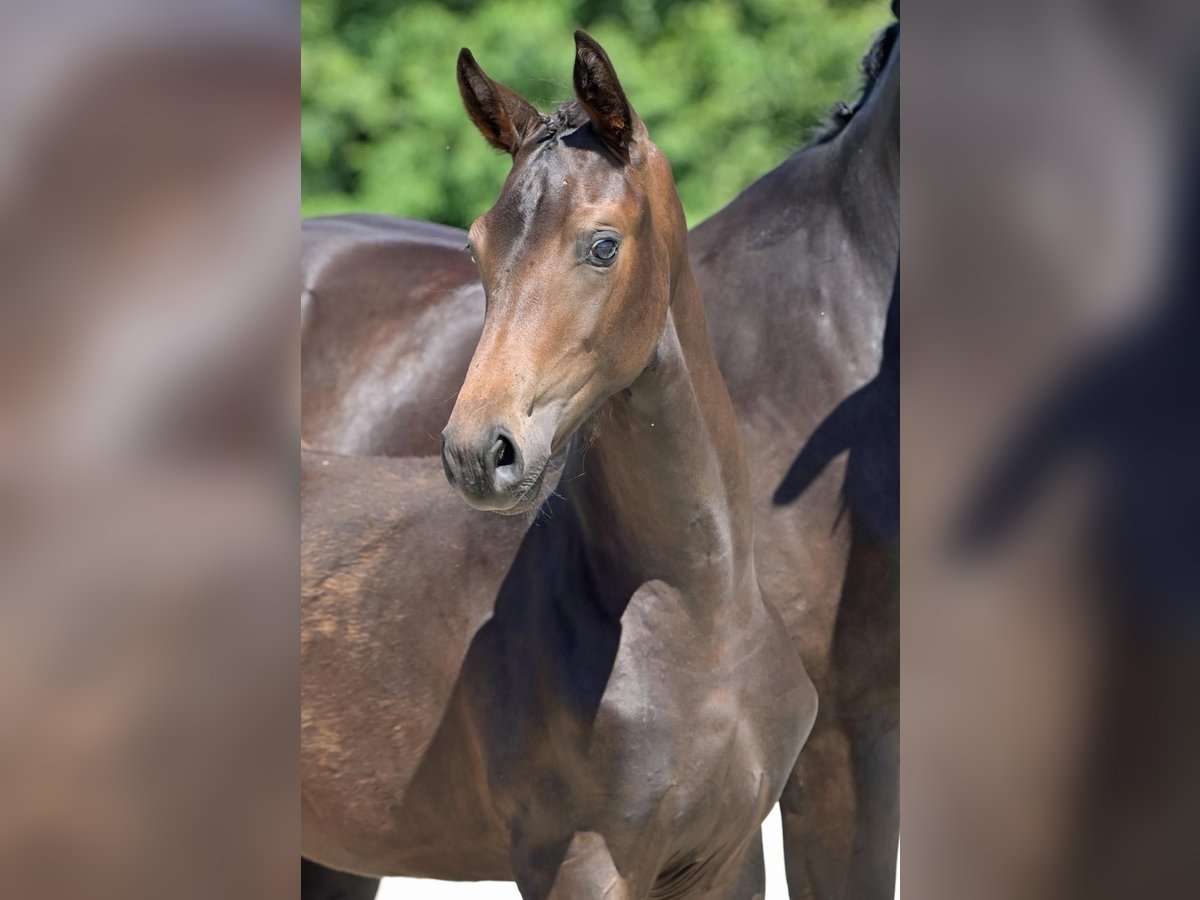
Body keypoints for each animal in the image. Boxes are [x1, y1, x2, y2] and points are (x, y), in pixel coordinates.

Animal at [302, 14, 902, 900]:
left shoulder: (729, 853)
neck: (700, 615)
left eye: (602, 246)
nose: (478, 452)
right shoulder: (584, 858)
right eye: (477, 251)